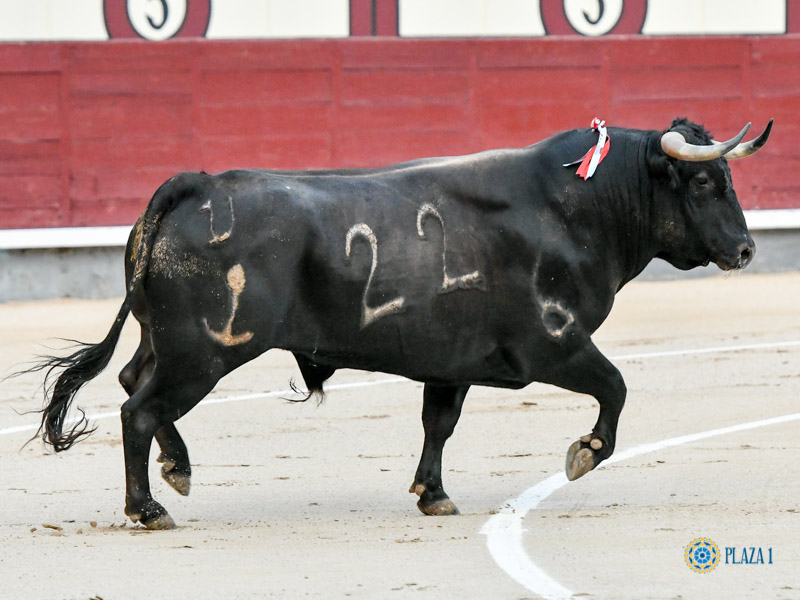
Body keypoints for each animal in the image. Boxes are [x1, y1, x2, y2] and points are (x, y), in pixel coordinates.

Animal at [29, 118, 768, 528]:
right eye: (706, 184)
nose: (745, 250)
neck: (577, 207)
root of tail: (197, 184)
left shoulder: (453, 361)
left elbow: (438, 423)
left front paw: (432, 494)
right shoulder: (555, 345)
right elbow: (616, 387)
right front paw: (583, 454)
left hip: (169, 344)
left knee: (133, 386)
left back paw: (177, 470)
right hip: (201, 352)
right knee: (139, 410)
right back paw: (149, 508)